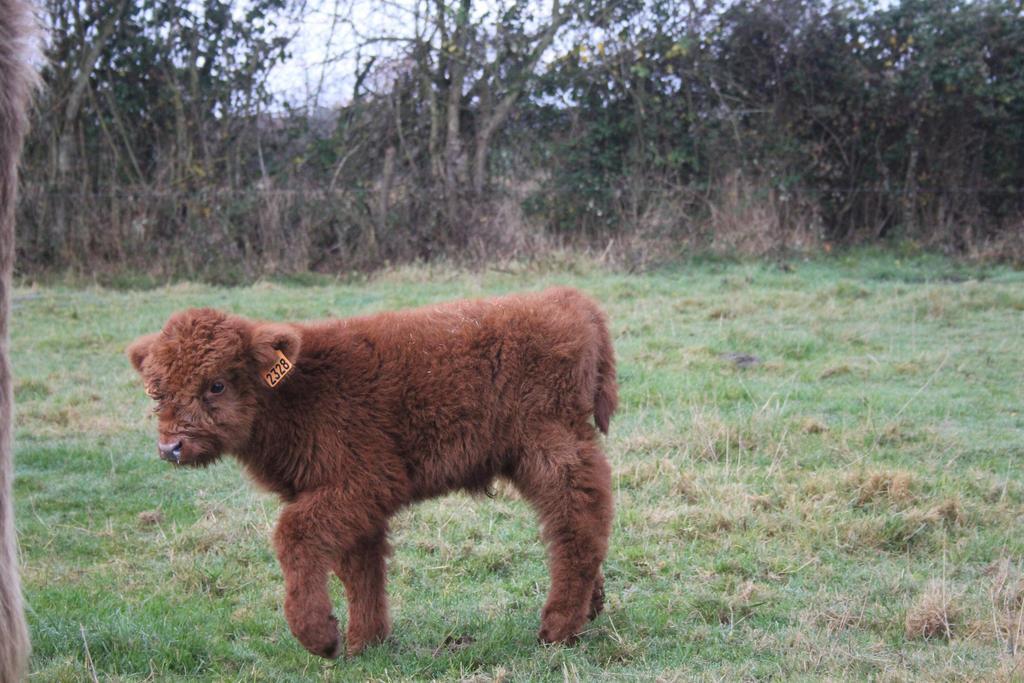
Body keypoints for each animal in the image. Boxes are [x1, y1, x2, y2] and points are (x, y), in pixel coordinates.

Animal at [128, 286, 614, 655]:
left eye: (216, 384)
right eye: (157, 393)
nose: (171, 447)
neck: (297, 393)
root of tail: (568, 298)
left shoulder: (362, 482)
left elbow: (294, 535)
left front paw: (320, 637)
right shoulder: (350, 500)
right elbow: (359, 566)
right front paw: (366, 642)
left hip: (551, 448)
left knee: (579, 520)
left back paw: (558, 628)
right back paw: (591, 606)